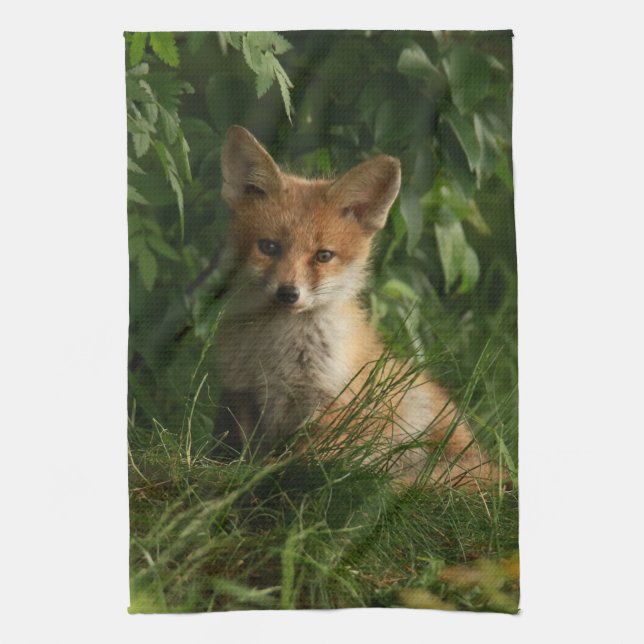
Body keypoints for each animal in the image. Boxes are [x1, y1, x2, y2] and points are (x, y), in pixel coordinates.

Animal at [211, 125, 501, 488]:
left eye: (323, 255)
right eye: (269, 247)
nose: (288, 293)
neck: (276, 350)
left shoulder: (331, 404)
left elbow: (302, 461)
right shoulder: (241, 393)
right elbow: (242, 453)